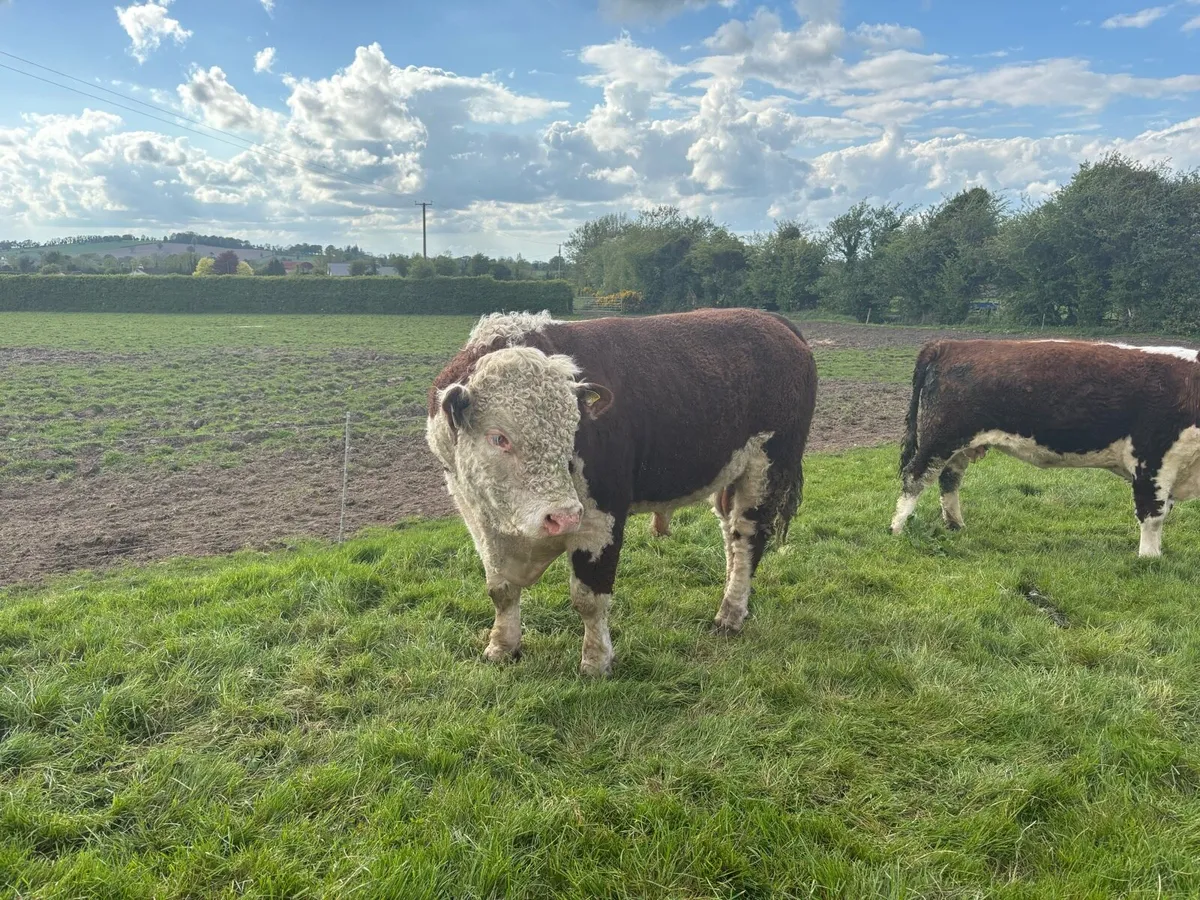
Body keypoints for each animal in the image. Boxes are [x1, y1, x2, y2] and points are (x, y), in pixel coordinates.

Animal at [427, 307, 817, 676]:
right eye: (498, 438)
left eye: (573, 432)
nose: (562, 517)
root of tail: (769, 318)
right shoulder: (479, 521)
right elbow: (501, 591)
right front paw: (501, 647)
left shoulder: (602, 516)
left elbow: (589, 598)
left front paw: (596, 661)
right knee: (730, 536)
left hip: (766, 468)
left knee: (748, 539)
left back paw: (731, 613)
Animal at [890, 338, 1200, 557]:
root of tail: (950, 345)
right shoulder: (1152, 459)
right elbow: (1152, 514)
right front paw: (1149, 558)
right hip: (940, 438)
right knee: (915, 476)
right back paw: (897, 528)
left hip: (959, 445)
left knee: (949, 479)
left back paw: (955, 525)